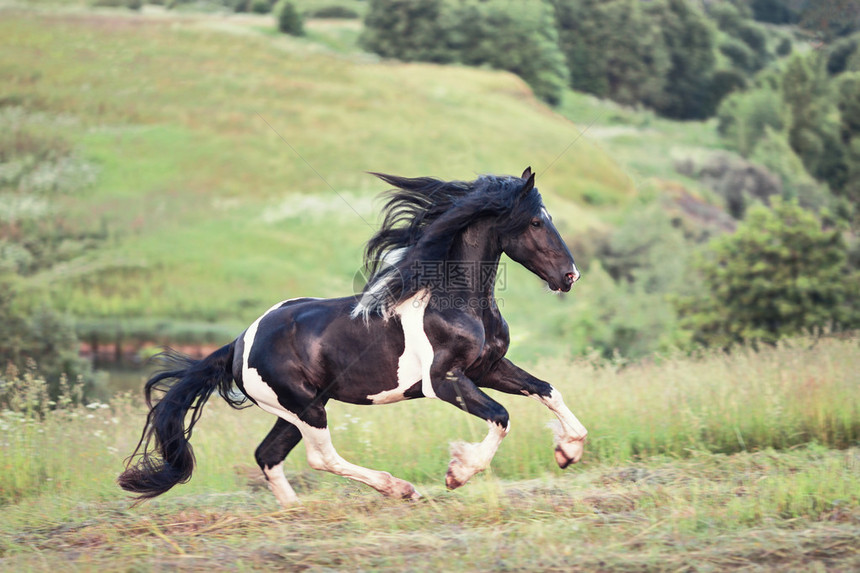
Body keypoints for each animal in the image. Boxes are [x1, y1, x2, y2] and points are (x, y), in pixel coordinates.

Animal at [117, 166, 588, 504]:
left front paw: (569, 451)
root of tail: (238, 345)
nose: (570, 276)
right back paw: (399, 488)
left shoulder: (488, 367)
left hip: (295, 409)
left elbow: (546, 389)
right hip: (305, 408)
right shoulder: (443, 381)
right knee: (319, 456)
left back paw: (297, 512)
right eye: (534, 222)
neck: (453, 301)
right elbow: (501, 416)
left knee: (268, 455)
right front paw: (458, 473)